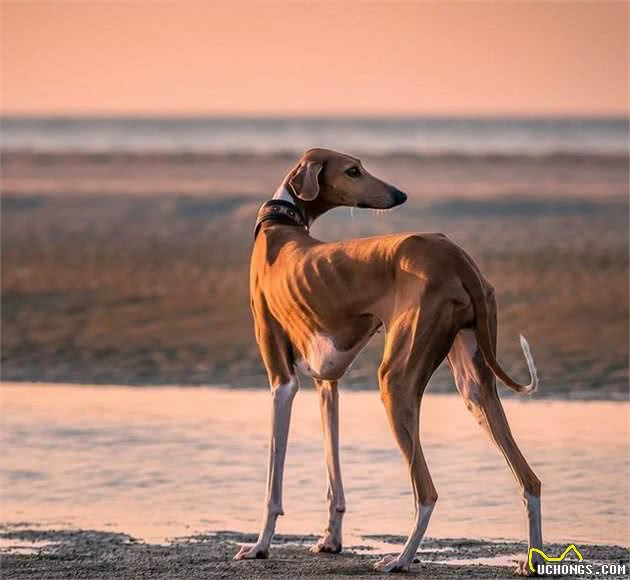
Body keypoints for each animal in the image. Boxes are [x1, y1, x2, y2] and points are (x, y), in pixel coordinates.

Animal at [237, 147, 544, 572]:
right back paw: (531, 560)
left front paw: (260, 545)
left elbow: (273, 482)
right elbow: (333, 475)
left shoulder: (282, 381)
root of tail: (456, 256)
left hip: (394, 383)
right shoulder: (327, 382)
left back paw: (401, 559)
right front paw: (330, 540)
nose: (400, 195)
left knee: (426, 492)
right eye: (353, 170)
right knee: (530, 480)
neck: (280, 227)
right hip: (475, 385)